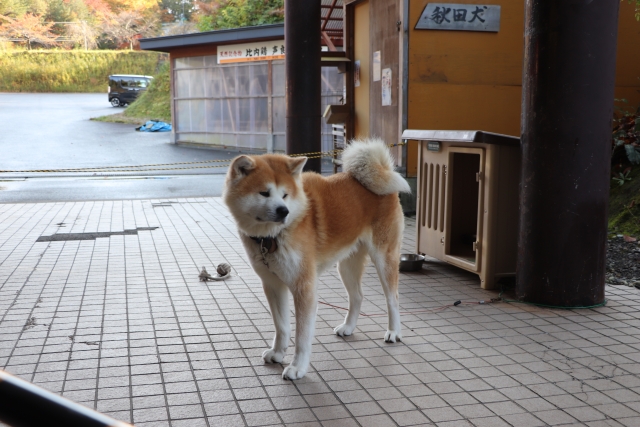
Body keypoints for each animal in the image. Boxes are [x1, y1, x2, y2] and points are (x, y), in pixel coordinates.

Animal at [222, 139, 410, 380]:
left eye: (285, 195)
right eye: (264, 193)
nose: (283, 211)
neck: (273, 236)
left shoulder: (303, 287)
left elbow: (302, 337)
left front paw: (297, 367)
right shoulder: (273, 285)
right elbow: (282, 327)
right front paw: (277, 353)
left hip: (383, 258)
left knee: (392, 298)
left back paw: (394, 332)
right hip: (346, 266)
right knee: (357, 296)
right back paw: (348, 327)